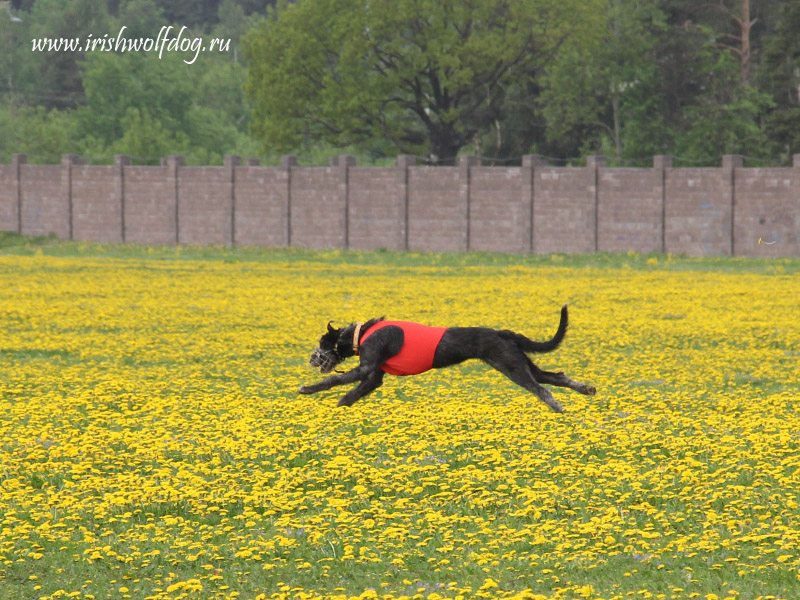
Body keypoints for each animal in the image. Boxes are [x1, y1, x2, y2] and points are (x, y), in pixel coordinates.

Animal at [298, 304, 592, 412]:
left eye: (321, 344)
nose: (312, 359)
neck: (360, 334)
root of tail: (501, 333)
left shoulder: (367, 365)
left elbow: (335, 381)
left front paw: (307, 388)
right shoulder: (374, 377)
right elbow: (352, 393)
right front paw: (340, 409)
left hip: (511, 366)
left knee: (542, 389)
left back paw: (557, 408)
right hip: (520, 361)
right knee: (555, 376)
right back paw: (585, 389)